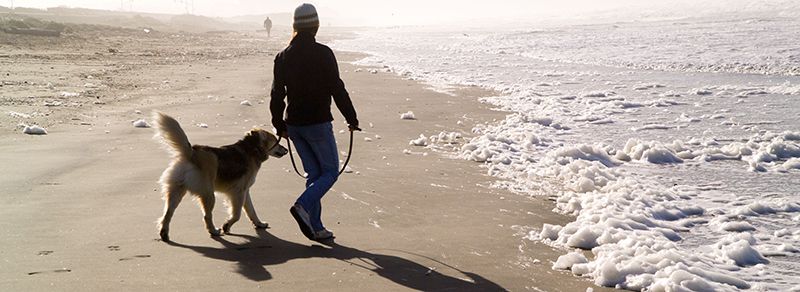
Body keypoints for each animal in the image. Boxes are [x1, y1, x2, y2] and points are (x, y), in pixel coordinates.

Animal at [152, 112, 286, 242]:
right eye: (276, 141)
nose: (286, 150)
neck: (252, 148)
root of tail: (192, 154)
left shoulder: (245, 192)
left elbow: (251, 211)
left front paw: (259, 224)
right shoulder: (238, 192)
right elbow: (237, 214)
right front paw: (227, 225)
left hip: (177, 190)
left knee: (168, 213)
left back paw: (164, 233)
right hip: (209, 194)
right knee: (207, 216)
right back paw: (214, 231)